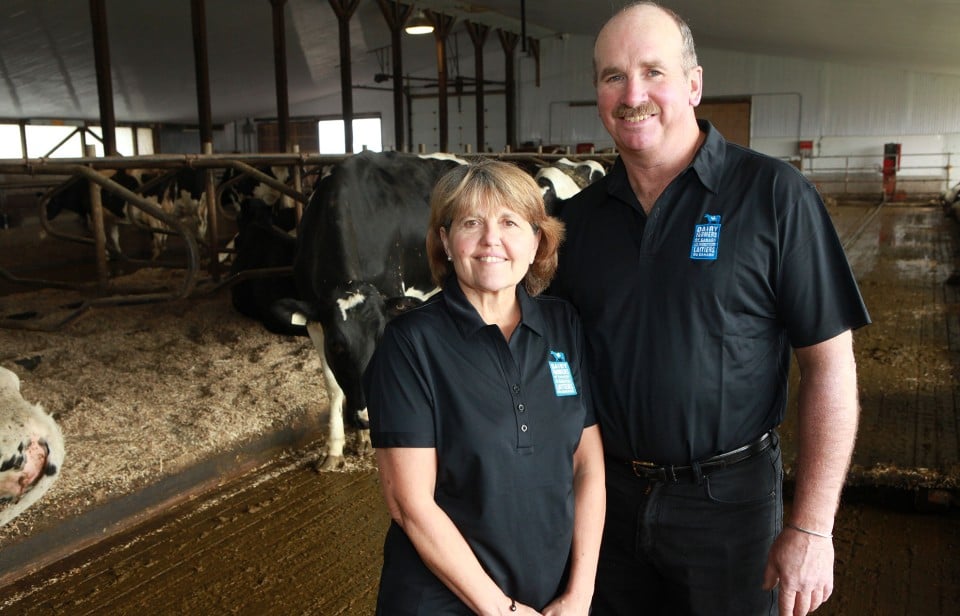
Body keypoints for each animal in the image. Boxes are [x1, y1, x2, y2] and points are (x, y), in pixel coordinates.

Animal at [280, 152, 466, 470]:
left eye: (382, 341)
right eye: (336, 345)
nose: (368, 417)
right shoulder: (315, 321)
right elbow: (332, 385)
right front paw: (337, 447)